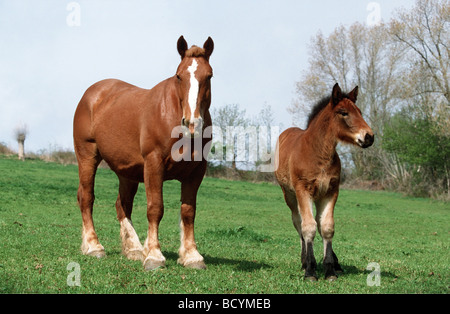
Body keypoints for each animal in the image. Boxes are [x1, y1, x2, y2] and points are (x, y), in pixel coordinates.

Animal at [73, 36, 214, 270]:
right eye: (179, 76)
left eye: (209, 76)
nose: (192, 122)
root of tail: (91, 94)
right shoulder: (154, 164)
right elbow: (155, 208)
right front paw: (155, 256)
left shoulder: (196, 171)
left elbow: (188, 211)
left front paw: (191, 256)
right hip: (87, 157)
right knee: (86, 197)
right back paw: (94, 246)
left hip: (127, 172)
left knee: (122, 206)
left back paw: (134, 249)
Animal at [274, 83, 376, 280]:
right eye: (343, 112)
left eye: (359, 111)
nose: (369, 136)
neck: (318, 153)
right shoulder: (303, 190)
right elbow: (308, 227)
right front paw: (310, 270)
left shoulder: (330, 192)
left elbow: (327, 227)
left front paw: (329, 268)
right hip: (290, 195)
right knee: (298, 222)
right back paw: (304, 260)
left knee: (318, 224)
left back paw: (333, 262)